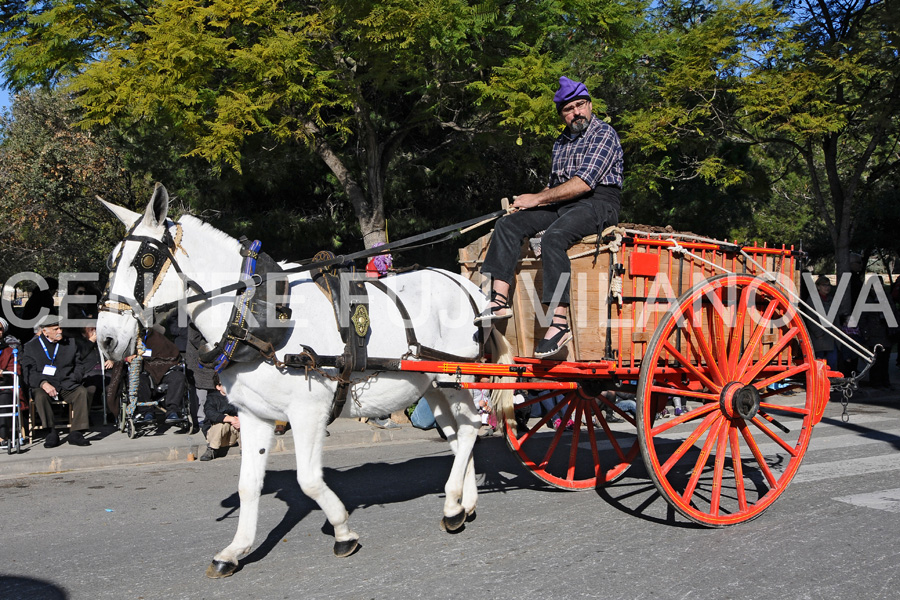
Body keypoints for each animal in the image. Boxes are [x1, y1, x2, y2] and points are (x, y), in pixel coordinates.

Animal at [96, 183, 512, 576]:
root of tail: (471, 288)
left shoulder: (308, 411)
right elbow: (248, 484)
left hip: (455, 376)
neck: (252, 314)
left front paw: (343, 531)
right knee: (456, 436)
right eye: (112, 260)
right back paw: (463, 503)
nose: (106, 339)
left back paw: (453, 506)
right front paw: (234, 551)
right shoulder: (255, 415)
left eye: (146, 260)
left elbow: (309, 480)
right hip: (434, 383)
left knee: (470, 429)